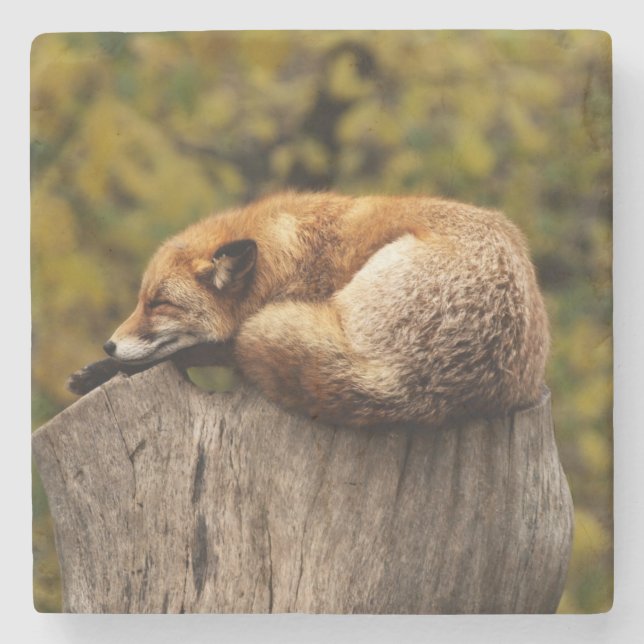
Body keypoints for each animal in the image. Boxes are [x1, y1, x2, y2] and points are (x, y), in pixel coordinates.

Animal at [68, 191, 549, 428]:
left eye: (159, 304)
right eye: (141, 301)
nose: (109, 345)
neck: (287, 258)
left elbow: (199, 350)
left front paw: (102, 370)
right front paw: (98, 369)